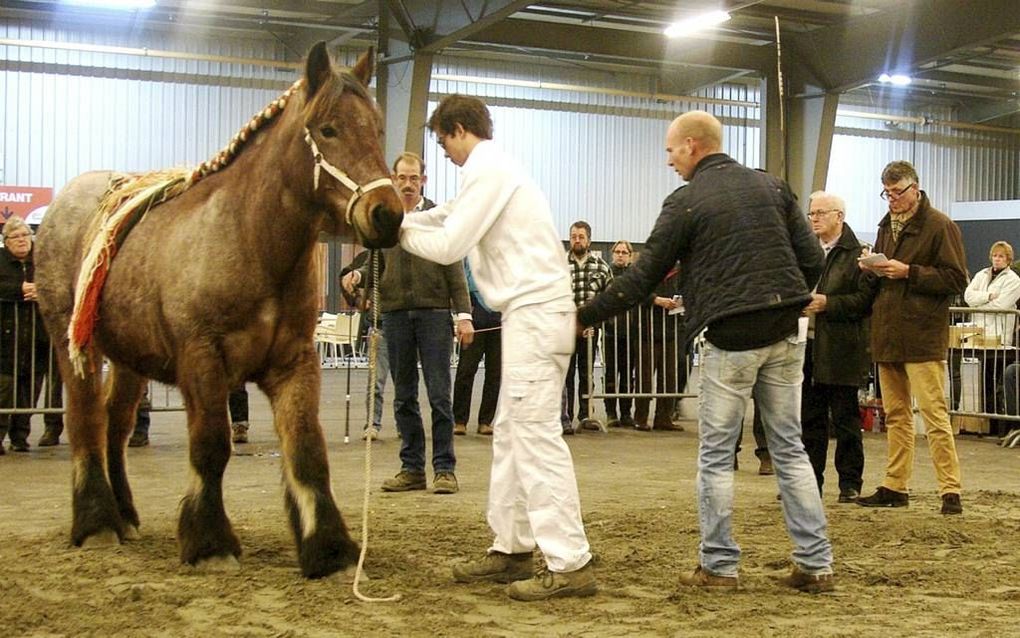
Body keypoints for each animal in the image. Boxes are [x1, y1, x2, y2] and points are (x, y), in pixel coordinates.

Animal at [32, 43, 397, 575]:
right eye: (329, 128)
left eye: (377, 128)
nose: (387, 214)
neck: (249, 237)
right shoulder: (203, 360)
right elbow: (210, 446)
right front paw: (209, 543)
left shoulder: (294, 363)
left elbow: (307, 448)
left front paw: (328, 547)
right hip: (72, 344)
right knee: (86, 420)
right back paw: (98, 523)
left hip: (128, 359)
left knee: (116, 425)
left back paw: (126, 515)